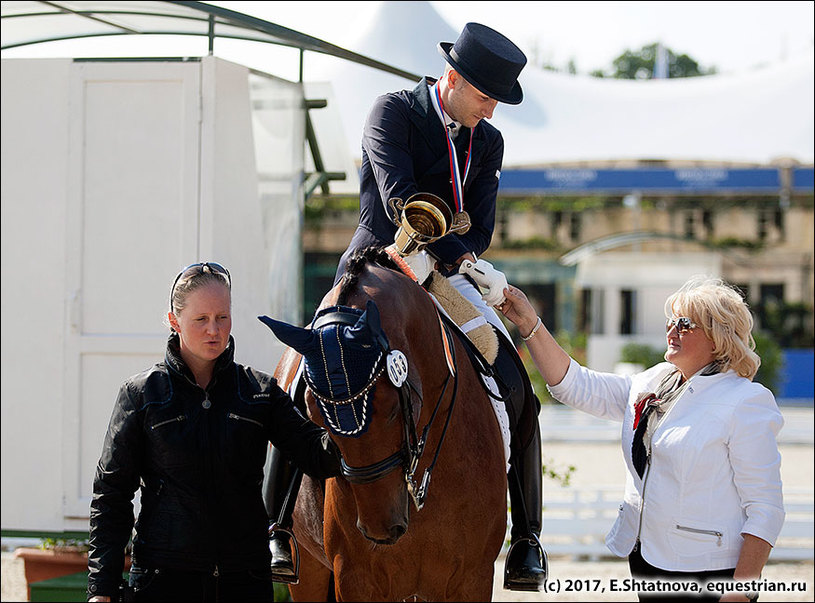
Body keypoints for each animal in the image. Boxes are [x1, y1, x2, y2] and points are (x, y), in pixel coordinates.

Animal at [264, 248, 506, 600]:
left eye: (393, 409)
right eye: (315, 415)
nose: (380, 528)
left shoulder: (472, 577)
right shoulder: (355, 577)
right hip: (308, 567)